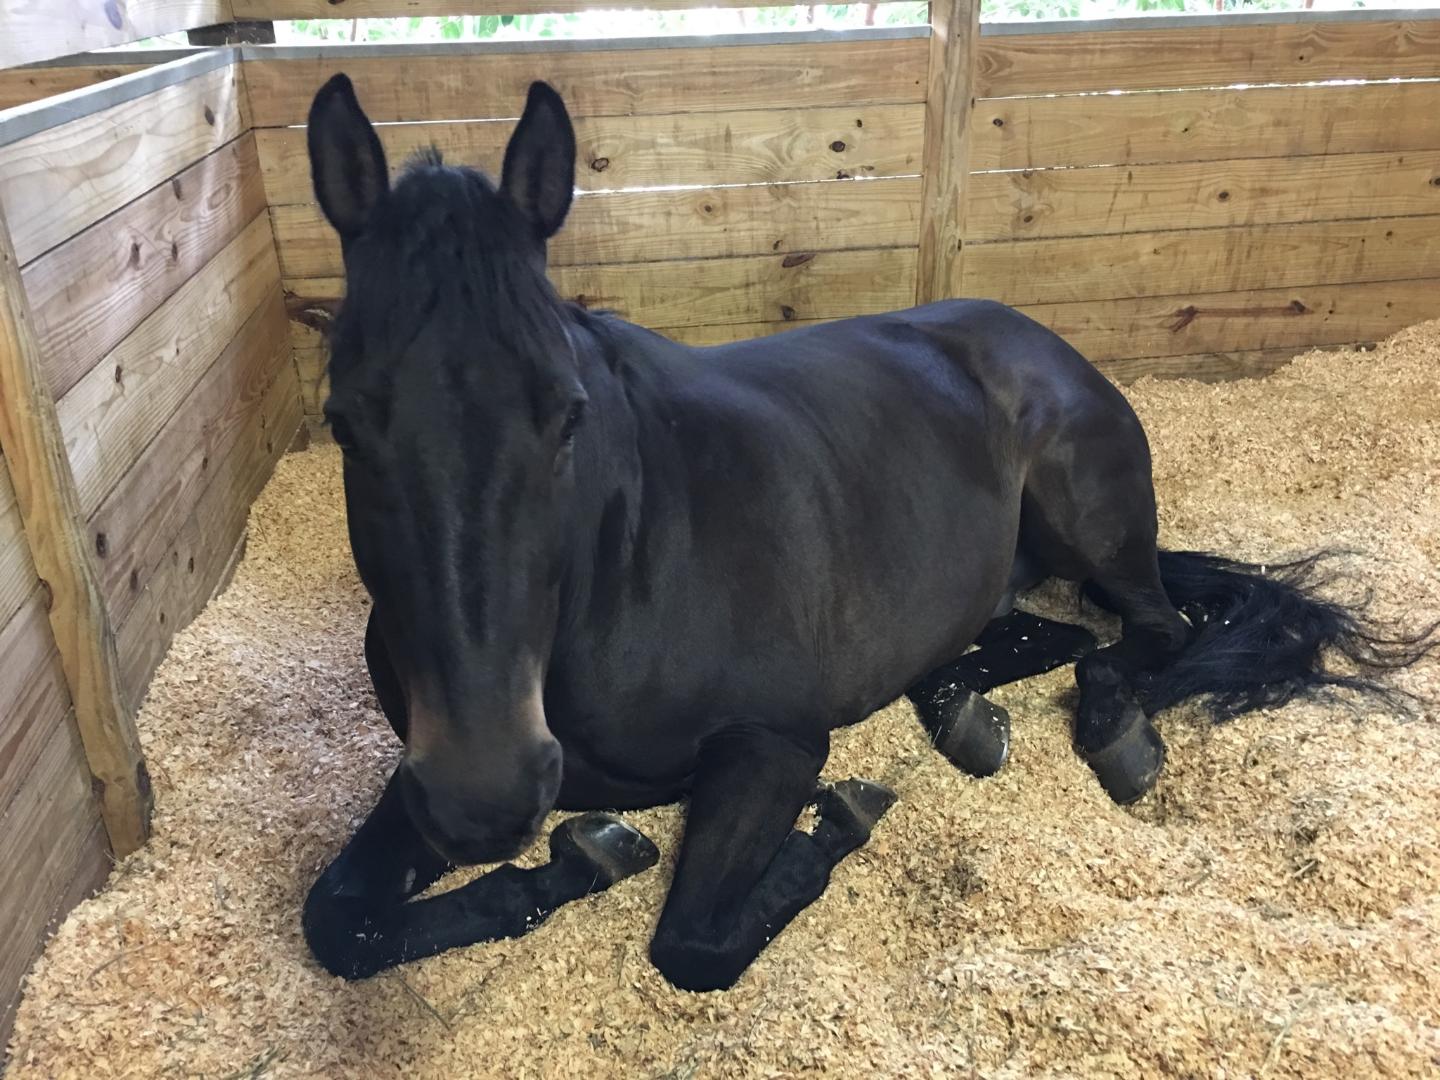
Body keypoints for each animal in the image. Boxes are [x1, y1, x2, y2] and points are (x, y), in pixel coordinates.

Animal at [299, 74, 1430, 992]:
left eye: (567, 413)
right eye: (344, 420)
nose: (486, 796)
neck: (615, 583)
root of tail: (1035, 338)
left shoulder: (775, 744)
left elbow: (693, 940)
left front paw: (827, 824)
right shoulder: (418, 786)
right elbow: (339, 924)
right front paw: (562, 868)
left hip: (1090, 522)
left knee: (1148, 630)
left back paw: (1110, 730)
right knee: (1045, 633)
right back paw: (961, 707)